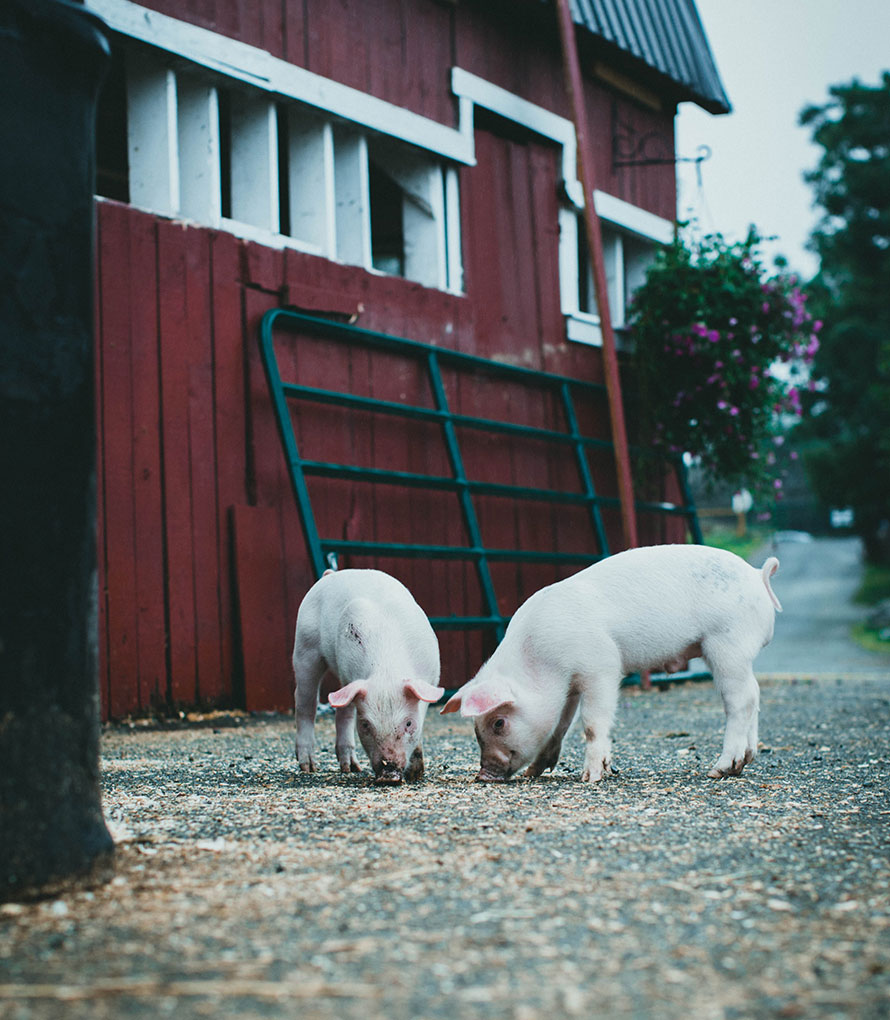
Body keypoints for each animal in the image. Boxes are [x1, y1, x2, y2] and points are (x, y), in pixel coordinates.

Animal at [293, 571, 442, 783]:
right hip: (305, 646)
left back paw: (351, 768)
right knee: (305, 703)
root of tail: (330, 574)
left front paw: (416, 773)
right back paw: (309, 767)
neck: (387, 670)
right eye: (365, 725)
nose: (388, 774)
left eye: (408, 723)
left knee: (342, 711)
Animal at [440, 546, 782, 783]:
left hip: (726, 644)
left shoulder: (600, 665)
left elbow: (592, 722)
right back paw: (744, 761)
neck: (540, 660)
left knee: (741, 699)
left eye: (499, 723)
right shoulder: (569, 687)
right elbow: (560, 727)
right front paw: (533, 772)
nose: (483, 775)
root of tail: (758, 576)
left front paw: (590, 778)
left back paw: (720, 770)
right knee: (755, 694)